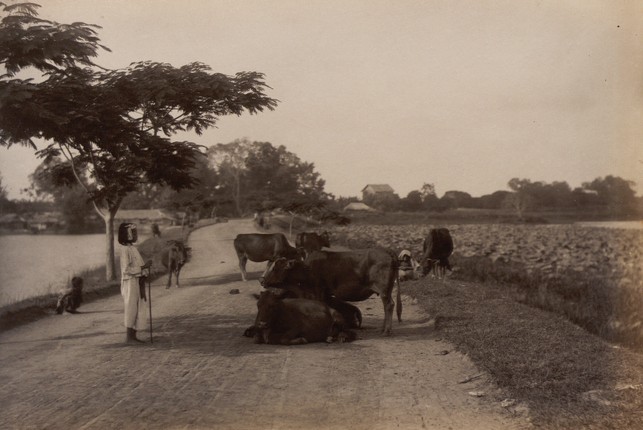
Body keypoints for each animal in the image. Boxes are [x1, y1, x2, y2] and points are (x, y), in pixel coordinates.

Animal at [262, 249, 402, 336]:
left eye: (275, 268)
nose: (262, 280)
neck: (307, 269)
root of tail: (387, 251)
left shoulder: (317, 292)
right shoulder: (326, 294)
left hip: (384, 290)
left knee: (389, 305)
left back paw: (386, 331)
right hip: (386, 291)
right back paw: (383, 328)